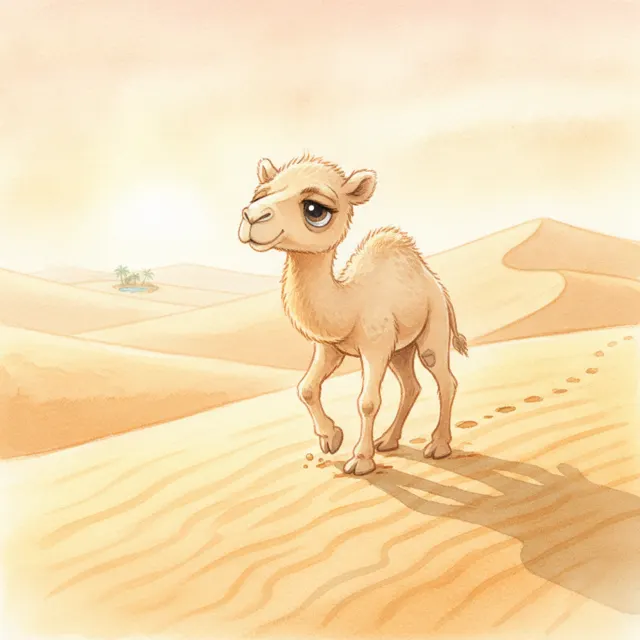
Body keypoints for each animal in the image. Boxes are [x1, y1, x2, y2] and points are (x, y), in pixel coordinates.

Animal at [238, 154, 468, 476]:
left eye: (315, 210)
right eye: (260, 194)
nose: (251, 216)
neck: (348, 302)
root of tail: (437, 285)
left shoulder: (375, 347)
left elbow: (367, 402)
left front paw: (360, 459)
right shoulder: (328, 347)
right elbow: (306, 387)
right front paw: (331, 438)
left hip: (433, 327)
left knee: (445, 380)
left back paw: (438, 445)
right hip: (400, 349)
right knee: (411, 386)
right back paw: (388, 440)